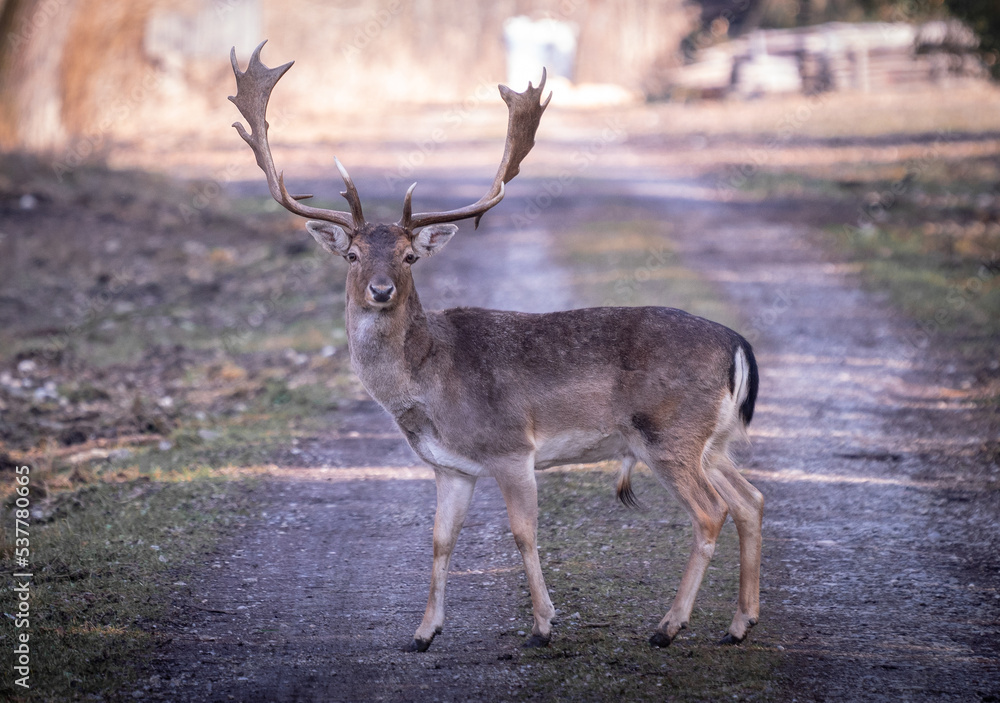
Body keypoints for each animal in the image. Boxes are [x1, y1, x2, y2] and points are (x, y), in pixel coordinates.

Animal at [229, 42, 764, 653]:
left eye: (409, 256)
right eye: (352, 255)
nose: (381, 290)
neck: (428, 387)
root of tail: (737, 344)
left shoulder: (512, 446)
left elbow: (523, 534)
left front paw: (543, 626)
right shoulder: (450, 468)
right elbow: (440, 541)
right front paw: (424, 632)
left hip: (668, 432)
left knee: (712, 512)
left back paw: (668, 626)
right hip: (711, 440)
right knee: (751, 501)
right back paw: (739, 624)